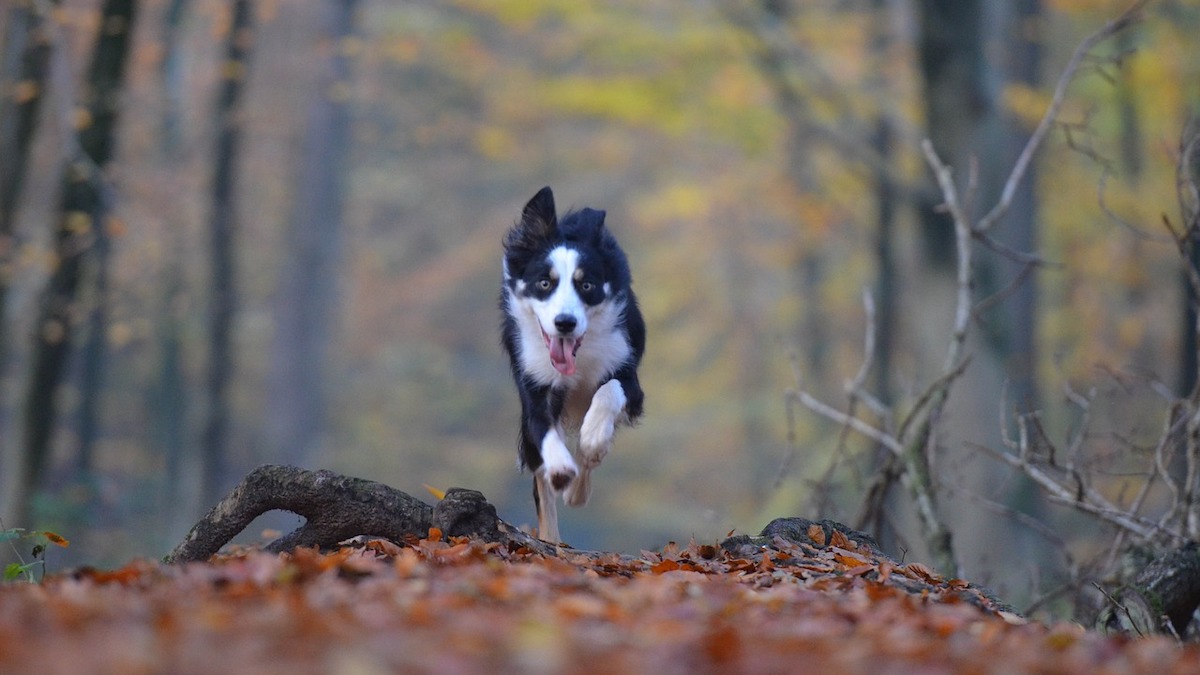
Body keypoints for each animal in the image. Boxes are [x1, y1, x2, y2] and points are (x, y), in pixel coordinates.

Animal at [499, 183, 648, 540]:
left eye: (586, 285)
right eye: (544, 283)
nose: (565, 323)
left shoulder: (628, 375)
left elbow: (609, 391)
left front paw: (593, 440)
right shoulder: (534, 381)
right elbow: (542, 430)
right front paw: (561, 468)